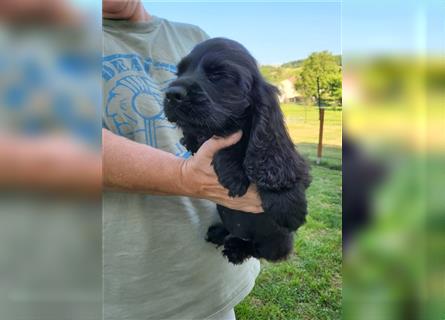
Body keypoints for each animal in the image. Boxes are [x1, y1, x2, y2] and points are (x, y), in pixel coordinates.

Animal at [163, 37, 308, 264]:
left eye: (218, 75)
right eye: (179, 73)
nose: (171, 94)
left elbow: (277, 163)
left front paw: (289, 209)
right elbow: (222, 138)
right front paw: (233, 173)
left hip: (278, 243)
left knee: (258, 248)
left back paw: (235, 246)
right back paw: (224, 237)